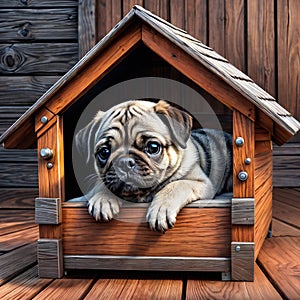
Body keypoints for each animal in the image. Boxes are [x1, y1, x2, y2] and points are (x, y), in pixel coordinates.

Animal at [75, 99, 232, 233]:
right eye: (104, 152)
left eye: (153, 147)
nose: (124, 162)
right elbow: (102, 185)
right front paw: (102, 198)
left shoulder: (200, 182)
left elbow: (176, 185)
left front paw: (161, 209)